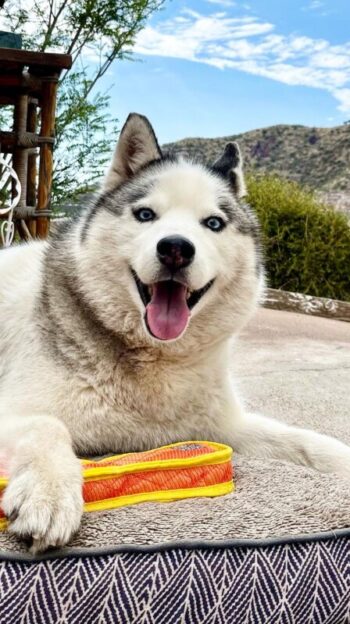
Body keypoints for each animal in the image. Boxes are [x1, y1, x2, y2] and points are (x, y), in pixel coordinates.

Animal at [0, 113, 350, 552]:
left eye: (213, 223)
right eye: (146, 215)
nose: (176, 248)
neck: (154, 359)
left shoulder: (223, 426)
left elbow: (306, 441)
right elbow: (47, 426)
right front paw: (48, 493)